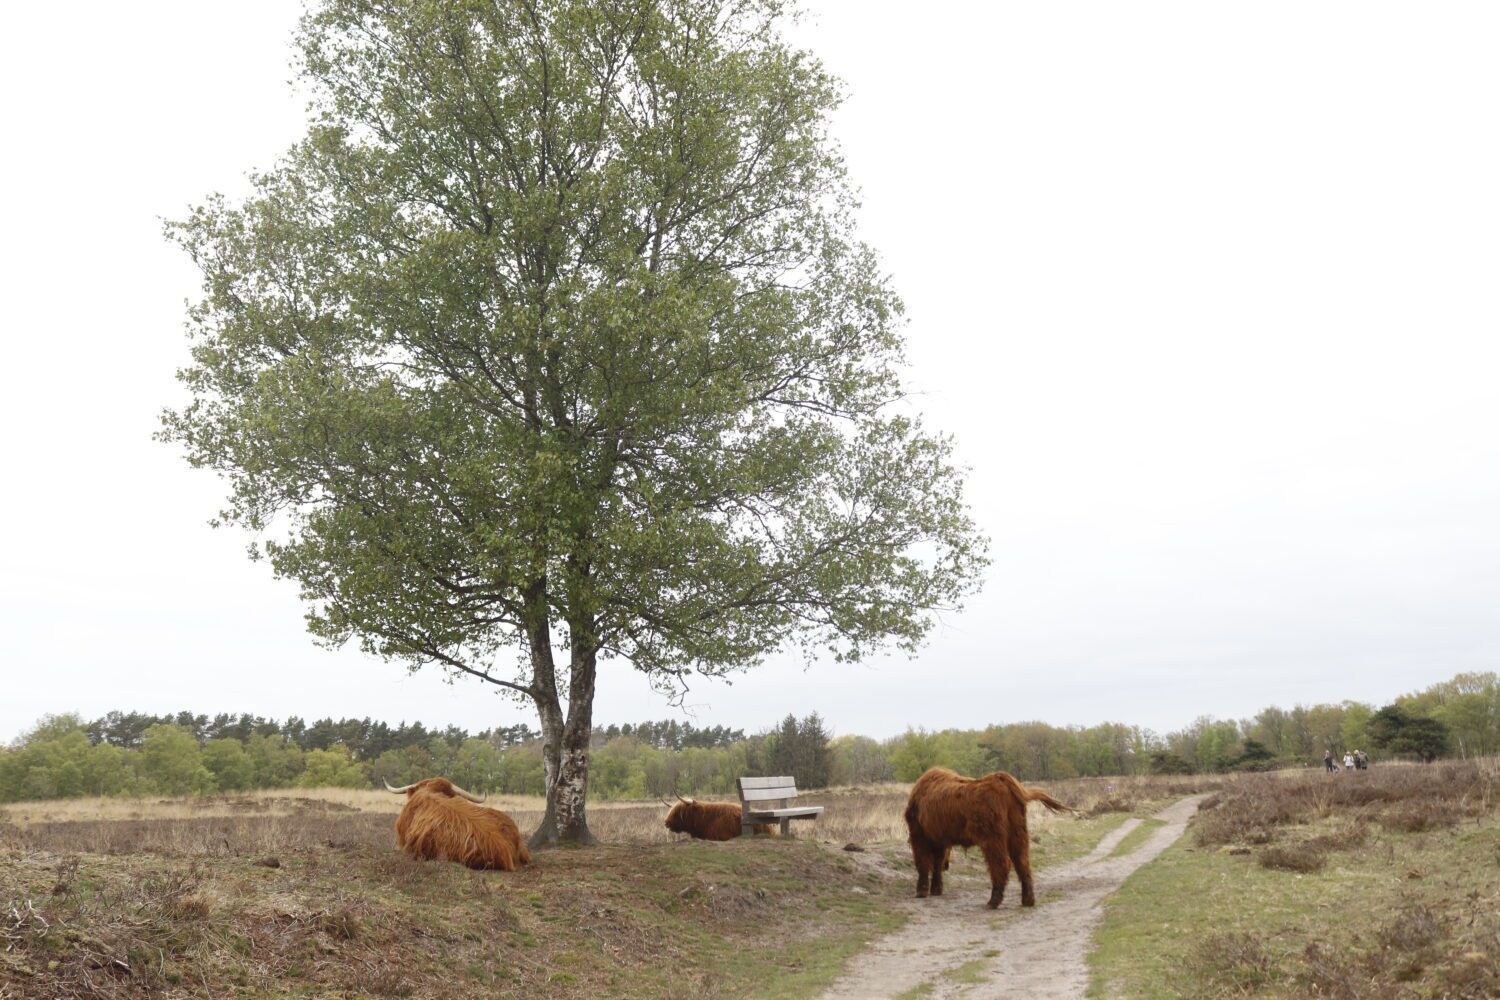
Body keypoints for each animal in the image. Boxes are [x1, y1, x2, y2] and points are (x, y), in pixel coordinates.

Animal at [894, 767, 1074, 905]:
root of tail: (1001, 779)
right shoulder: (939, 839)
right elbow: (937, 864)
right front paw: (936, 890)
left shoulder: (919, 836)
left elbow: (923, 863)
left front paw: (921, 892)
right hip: (1018, 833)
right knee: (1022, 863)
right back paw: (1027, 900)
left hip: (992, 838)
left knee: (1001, 864)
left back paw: (993, 901)